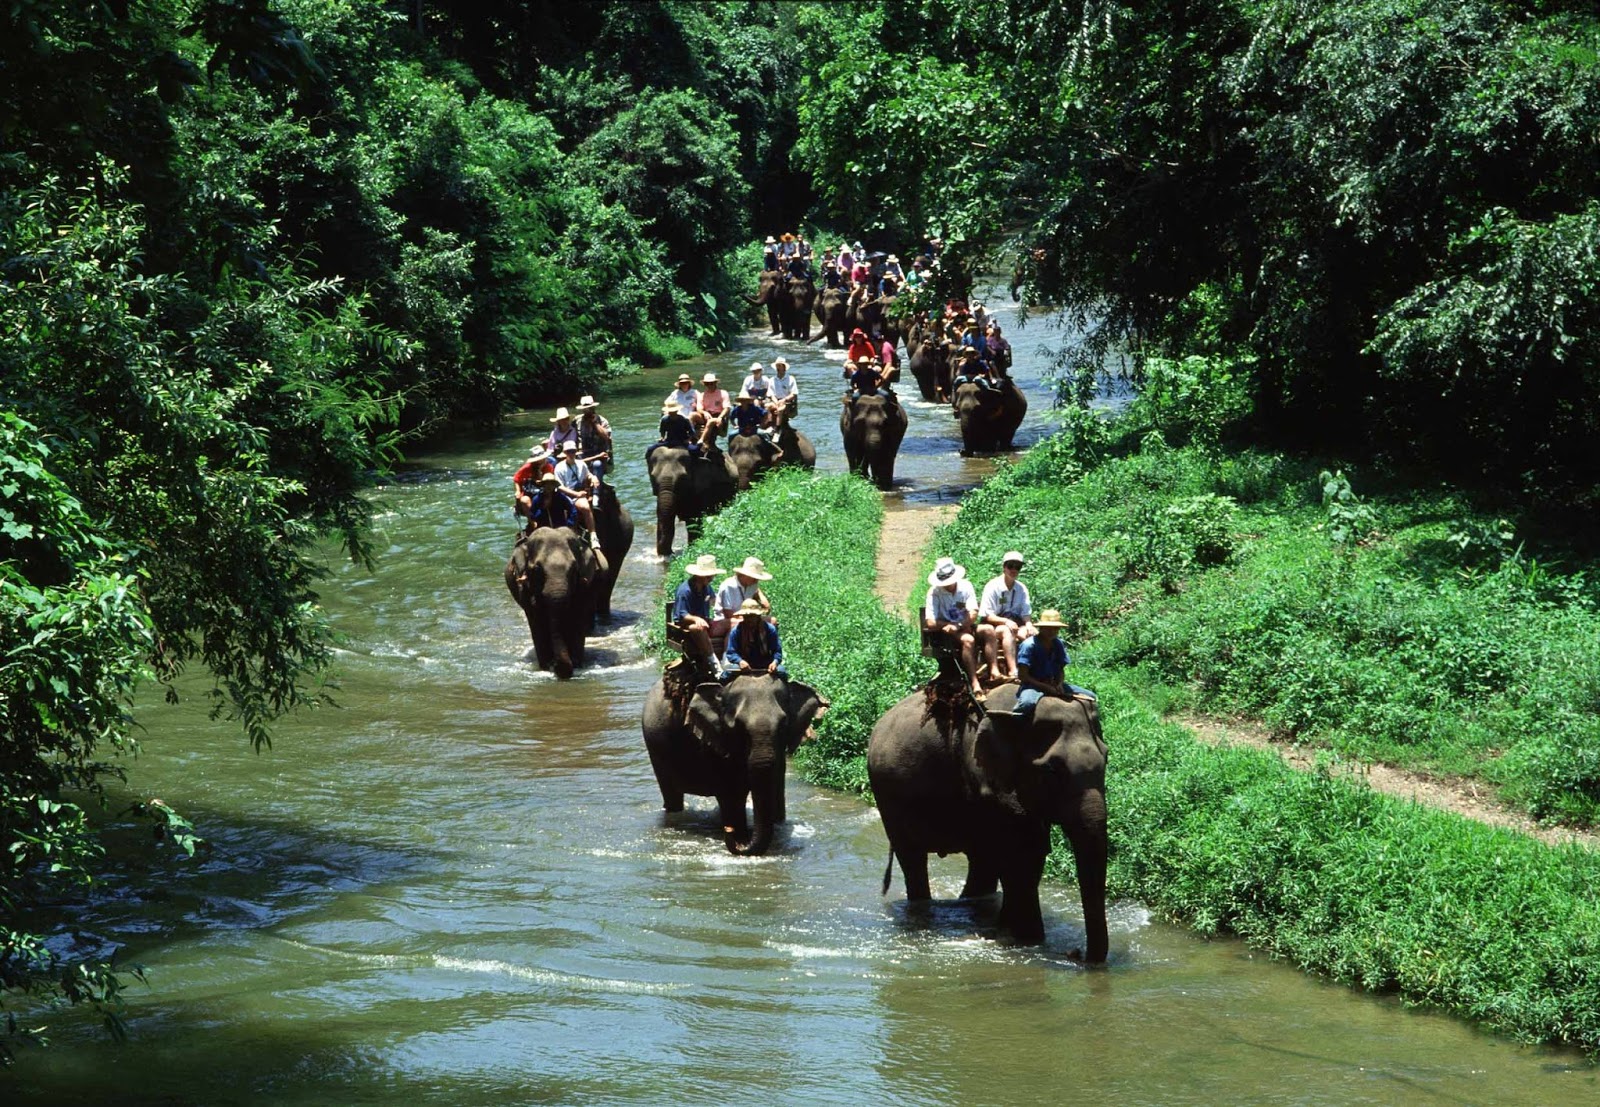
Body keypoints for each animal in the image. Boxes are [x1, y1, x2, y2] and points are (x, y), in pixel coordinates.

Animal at [502, 524, 601, 678]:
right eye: (537, 569)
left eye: (574, 569)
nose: (554, 665)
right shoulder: (525, 589)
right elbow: (537, 621)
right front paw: (546, 667)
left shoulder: (585, 586)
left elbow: (578, 618)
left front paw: (576, 665)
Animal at [643, 665, 832, 857]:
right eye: (739, 726)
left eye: (783, 724)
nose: (728, 830)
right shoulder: (715, 740)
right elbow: (731, 794)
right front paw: (739, 837)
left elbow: (775, 784)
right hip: (655, 749)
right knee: (671, 794)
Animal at [870, 684, 1107, 959]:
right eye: (1051, 771)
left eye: (1107, 760)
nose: (1076, 953)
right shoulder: (982, 773)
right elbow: (1021, 853)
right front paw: (1026, 940)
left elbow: (1030, 851)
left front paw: (1015, 935)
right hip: (888, 798)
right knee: (913, 859)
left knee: (981, 859)